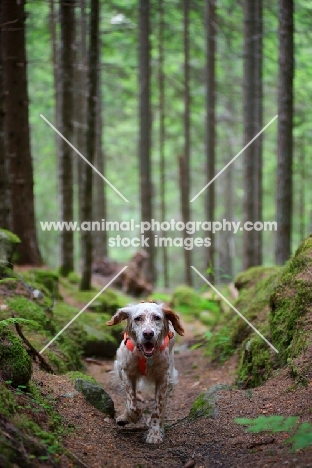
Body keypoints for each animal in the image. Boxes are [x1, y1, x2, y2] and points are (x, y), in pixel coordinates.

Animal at [107, 302, 185, 444]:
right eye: (138, 318)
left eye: (157, 317)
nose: (148, 333)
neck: (146, 357)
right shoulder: (126, 372)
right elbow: (132, 404)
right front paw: (132, 417)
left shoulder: (163, 378)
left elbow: (158, 409)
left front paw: (154, 433)